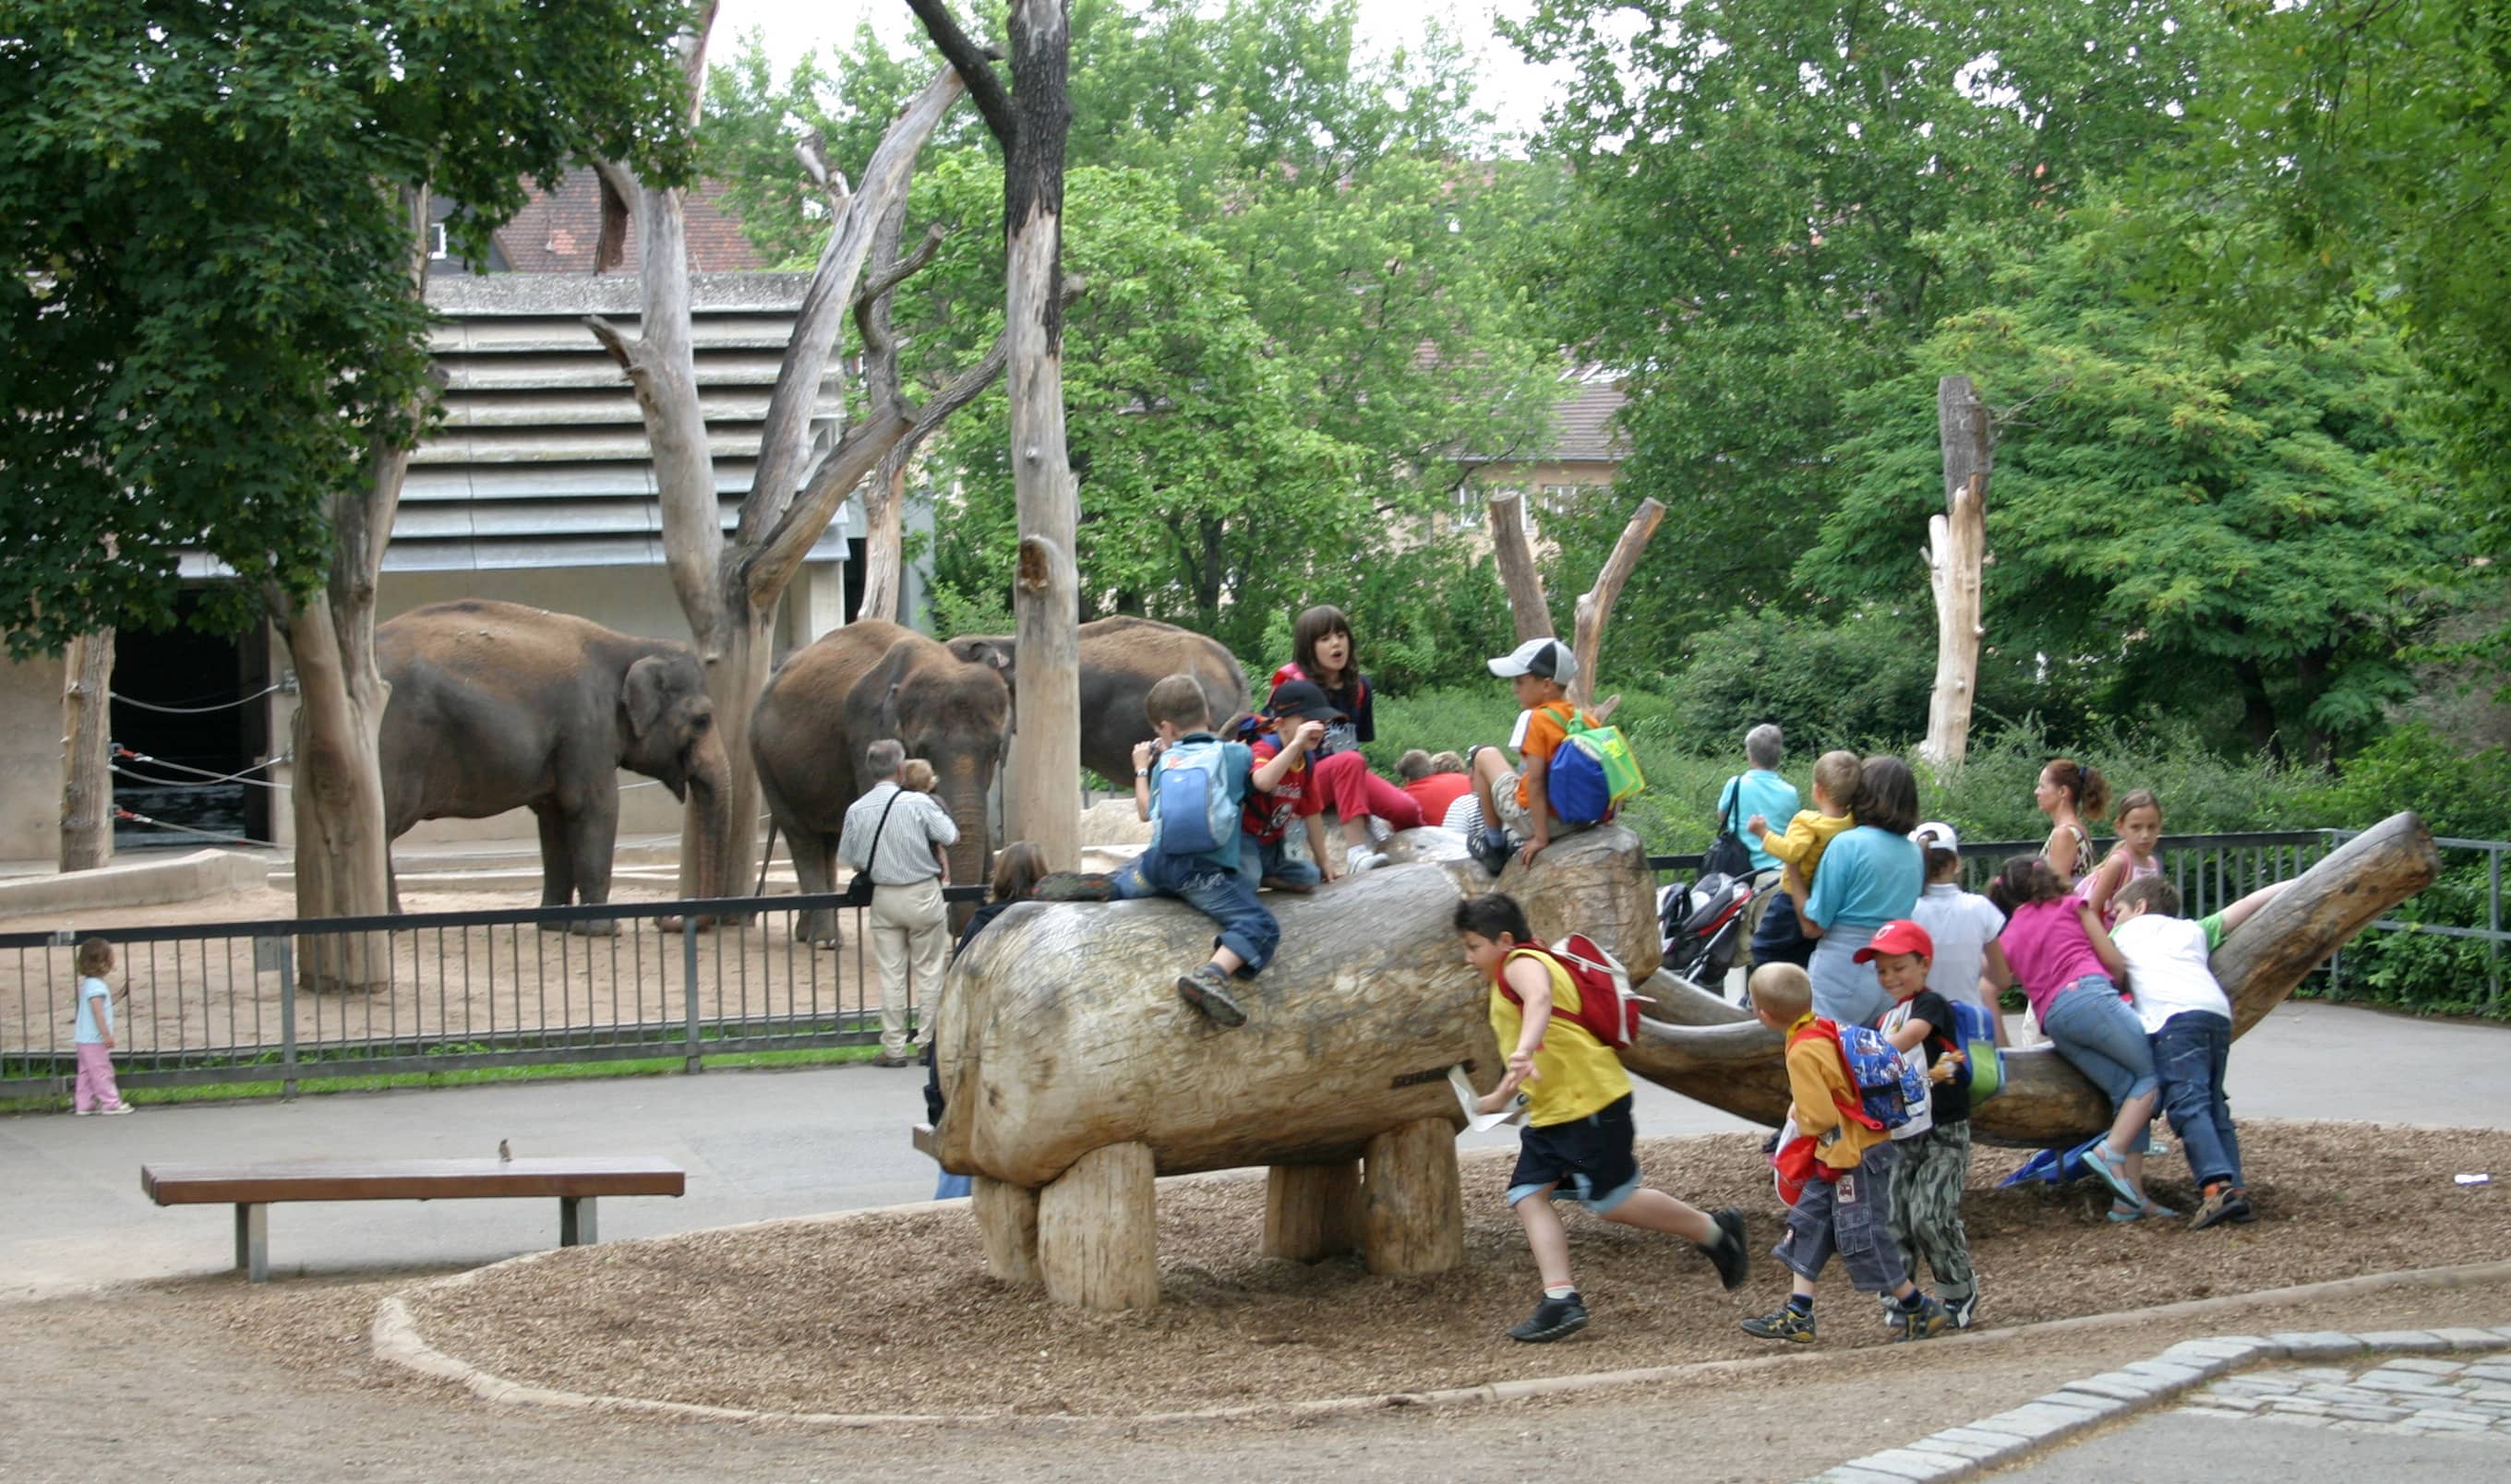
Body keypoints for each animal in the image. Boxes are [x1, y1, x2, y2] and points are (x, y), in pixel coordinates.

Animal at [376, 600, 731, 931]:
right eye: (702, 720)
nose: (663, 918)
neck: (630, 644)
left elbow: (554, 815)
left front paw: (555, 926)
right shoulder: (586, 728)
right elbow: (594, 806)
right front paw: (604, 931)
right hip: (396, 743)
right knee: (385, 826)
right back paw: (393, 926)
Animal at [751, 619, 1011, 945]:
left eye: (995, 750)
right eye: (923, 750)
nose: (960, 926)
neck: (936, 659)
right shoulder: (866, 732)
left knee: (828, 840)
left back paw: (809, 935)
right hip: (764, 759)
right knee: (802, 837)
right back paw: (824, 940)